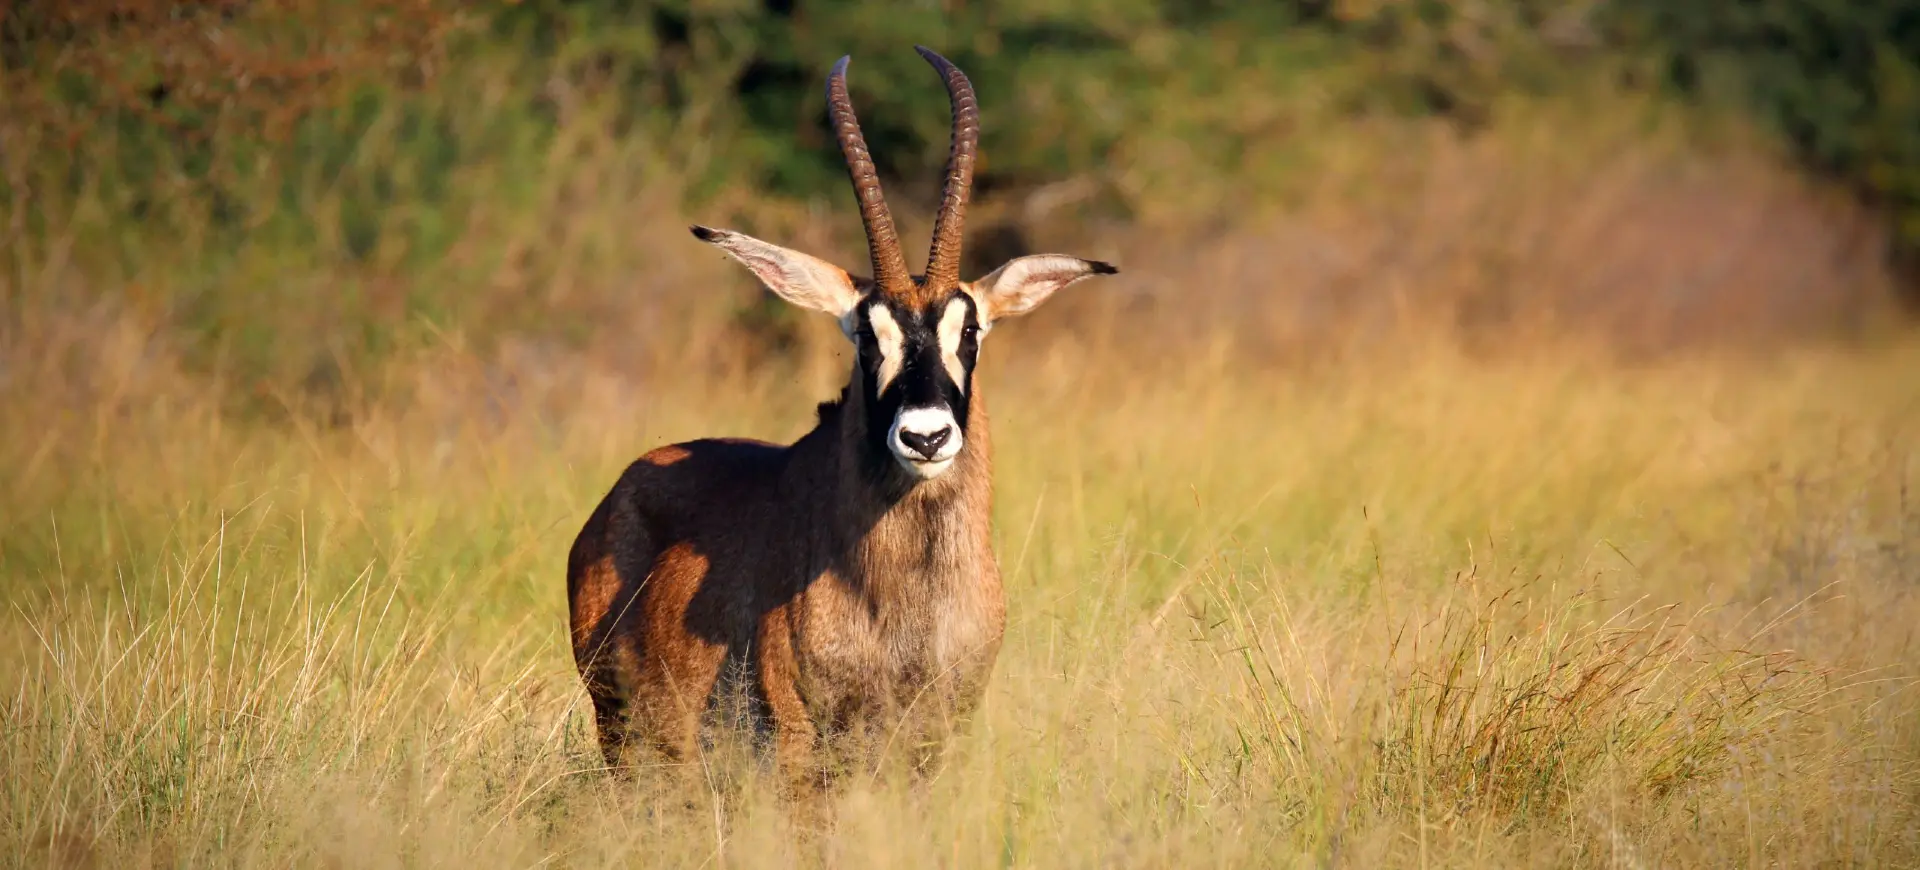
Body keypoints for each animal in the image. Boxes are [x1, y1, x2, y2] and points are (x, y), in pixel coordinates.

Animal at [560, 47, 1121, 787]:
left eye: (970, 330)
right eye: (864, 335)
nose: (925, 435)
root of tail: (621, 489)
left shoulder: (936, 737)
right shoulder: (802, 741)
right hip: (626, 734)